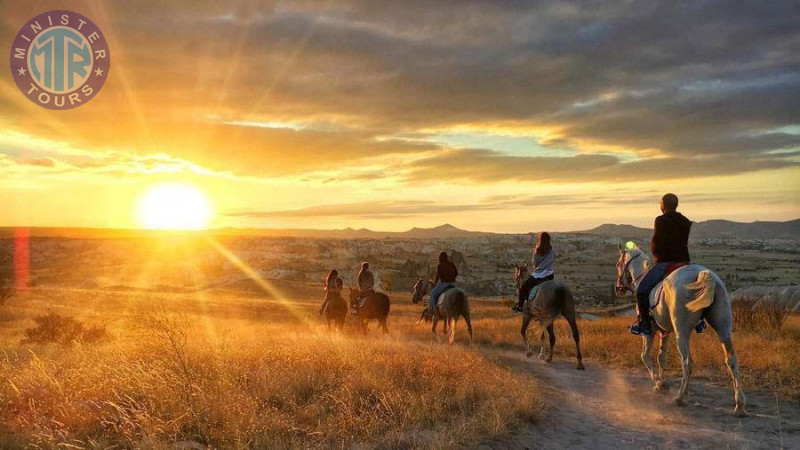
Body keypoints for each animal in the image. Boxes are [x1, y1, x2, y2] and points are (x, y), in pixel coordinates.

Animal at [616, 244, 748, 416]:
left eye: (618, 265)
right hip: (723, 327)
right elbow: (661, 357)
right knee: (731, 358)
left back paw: (680, 397)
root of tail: (703, 274)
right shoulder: (664, 331)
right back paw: (739, 404)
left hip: (682, 332)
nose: (618, 288)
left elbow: (645, 355)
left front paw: (658, 382)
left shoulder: (650, 330)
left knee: (687, 362)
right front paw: (662, 383)